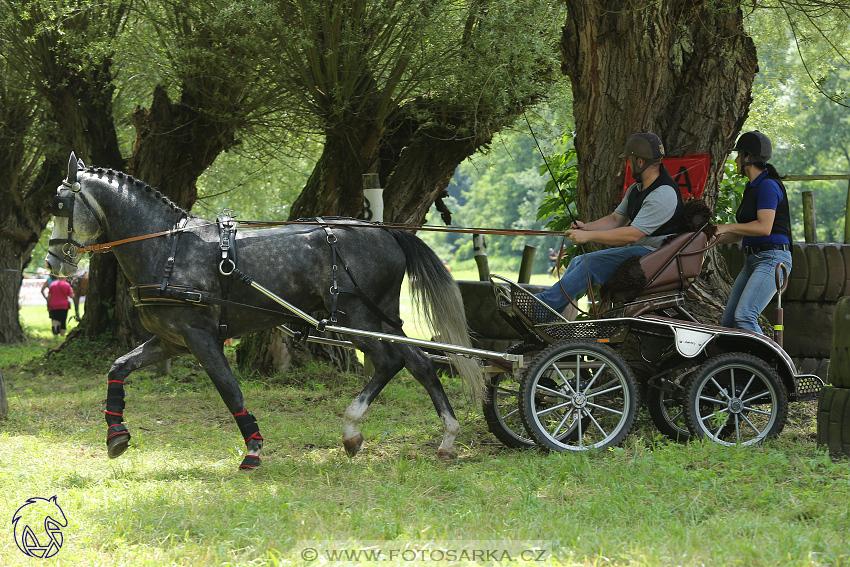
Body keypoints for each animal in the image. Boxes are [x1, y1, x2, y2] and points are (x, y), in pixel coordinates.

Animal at [48, 153, 484, 468]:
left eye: (60, 203)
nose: (54, 261)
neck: (169, 248)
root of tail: (387, 232)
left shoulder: (201, 337)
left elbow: (230, 390)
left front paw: (253, 449)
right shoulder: (173, 340)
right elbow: (119, 367)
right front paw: (116, 433)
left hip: (357, 318)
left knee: (390, 361)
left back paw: (352, 429)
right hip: (382, 318)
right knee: (420, 363)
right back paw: (445, 438)